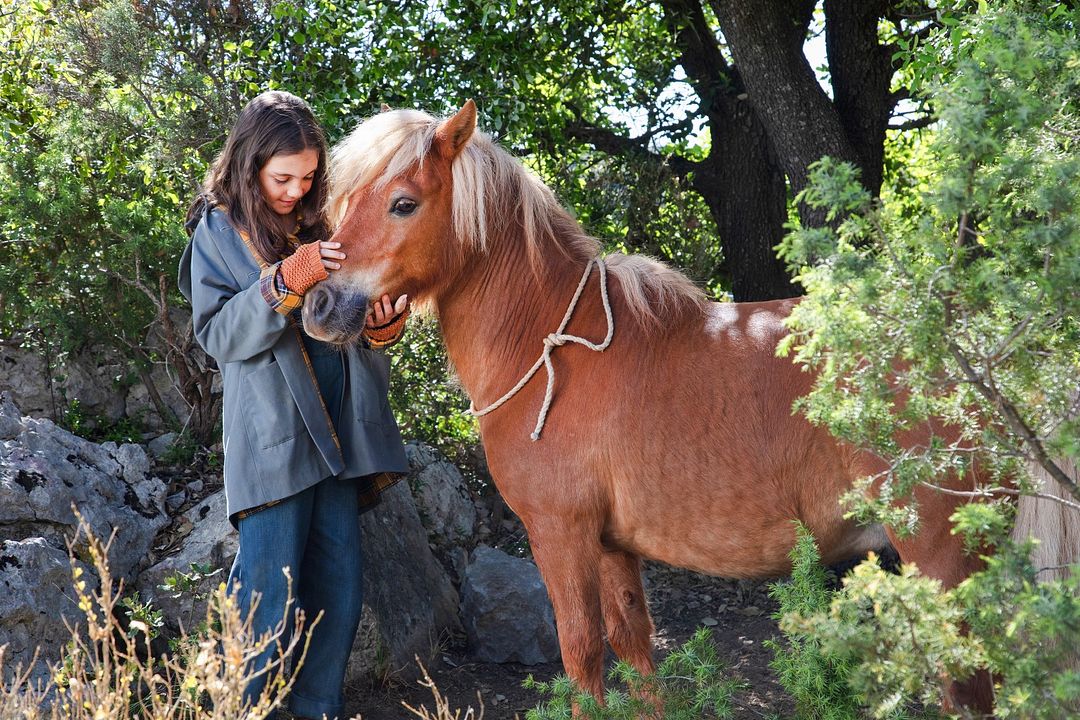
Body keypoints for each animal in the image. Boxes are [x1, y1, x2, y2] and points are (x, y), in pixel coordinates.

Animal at [301, 100, 1078, 715]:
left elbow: (582, 656)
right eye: (345, 201)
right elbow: (635, 651)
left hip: (944, 565)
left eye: (403, 202)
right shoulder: (612, 548)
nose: (319, 305)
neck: (551, 346)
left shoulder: (561, 535)